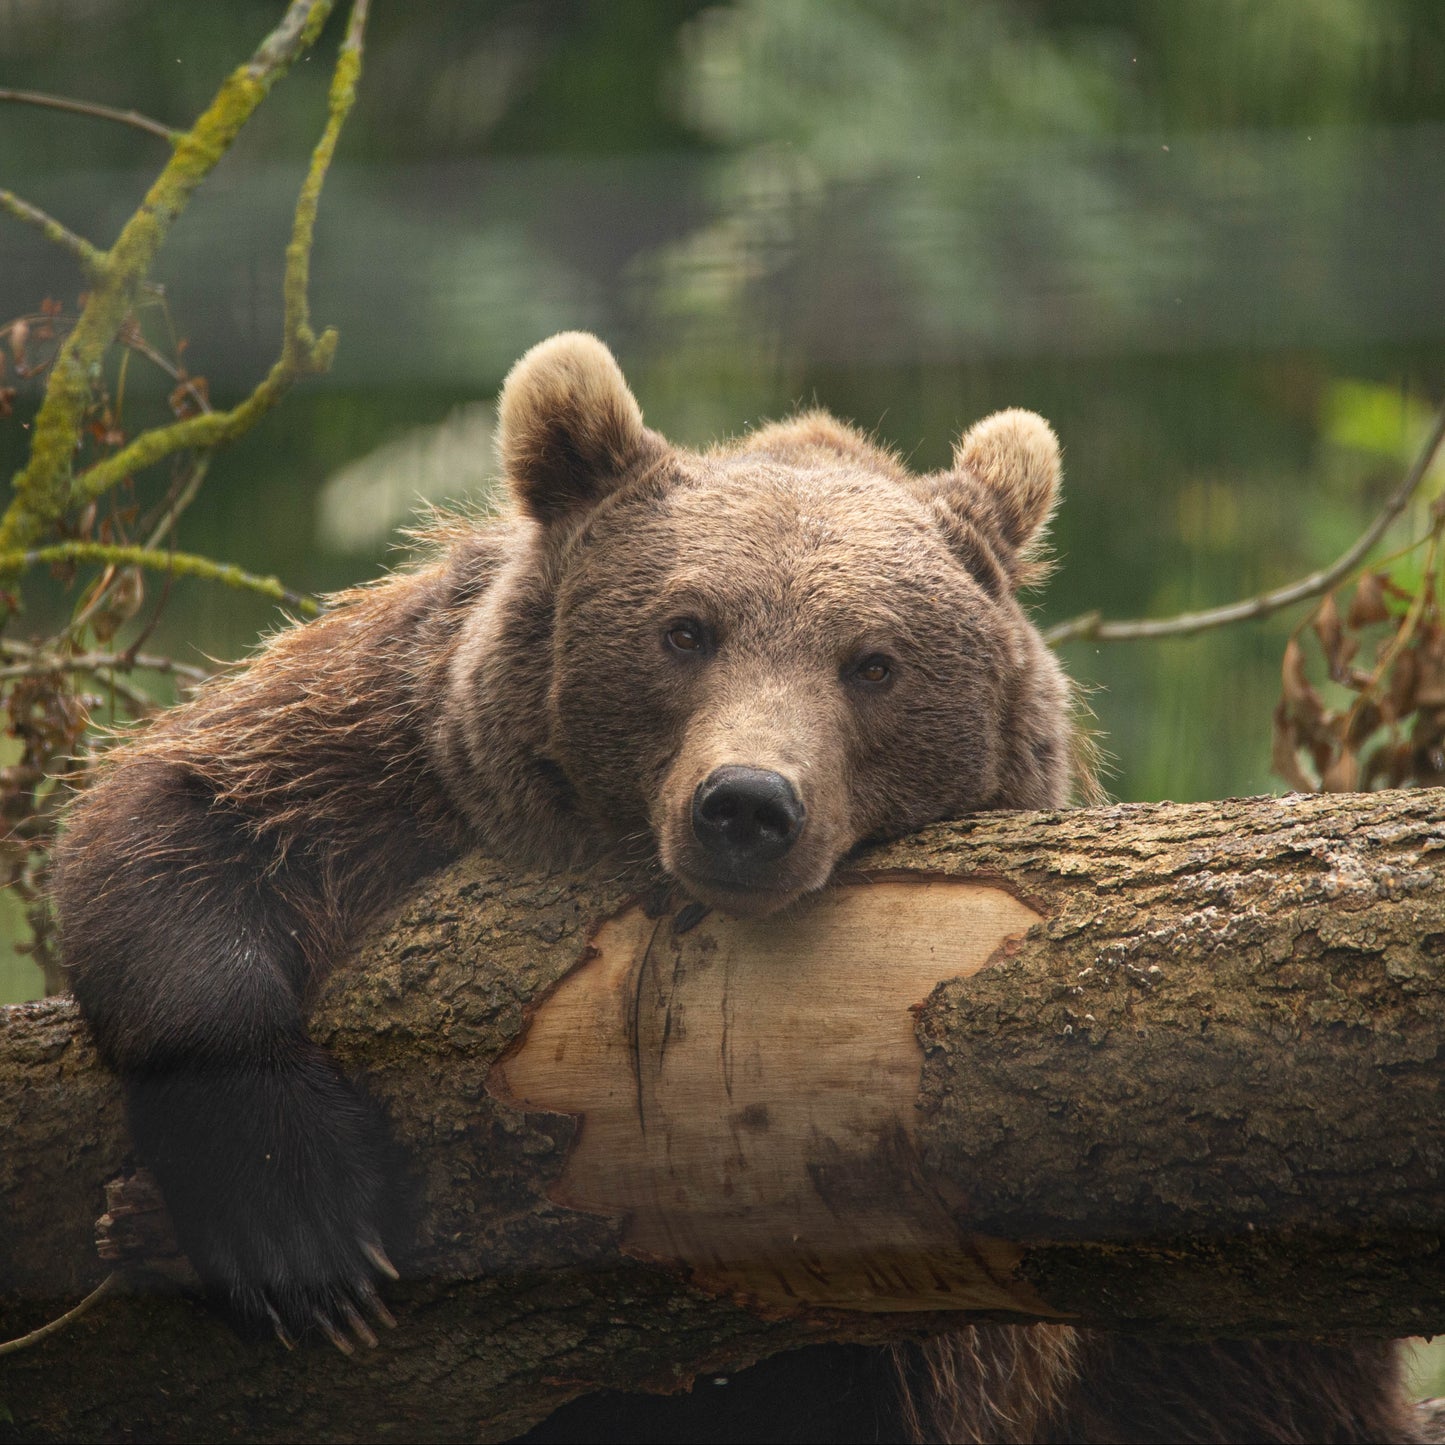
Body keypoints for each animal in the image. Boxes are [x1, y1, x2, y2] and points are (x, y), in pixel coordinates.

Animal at [53, 333, 1412, 1441]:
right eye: (684, 628)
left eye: (872, 662)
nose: (747, 804)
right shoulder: (400, 743)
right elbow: (183, 812)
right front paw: (300, 1234)